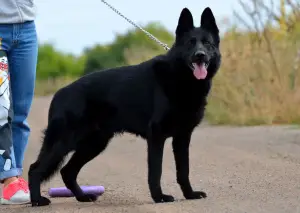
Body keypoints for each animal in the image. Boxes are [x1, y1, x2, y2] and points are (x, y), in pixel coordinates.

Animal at [28, 7, 220, 206]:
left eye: (207, 43)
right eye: (190, 43)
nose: (200, 55)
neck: (182, 78)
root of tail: (58, 94)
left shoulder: (182, 137)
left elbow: (183, 170)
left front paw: (190, 194)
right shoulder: (157, 136)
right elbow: (156, 171)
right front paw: (159, 197)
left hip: (94, 144)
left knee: (67, 171)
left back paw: (82, 196)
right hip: (63, 142)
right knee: (35, 169)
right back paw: (37, 200)